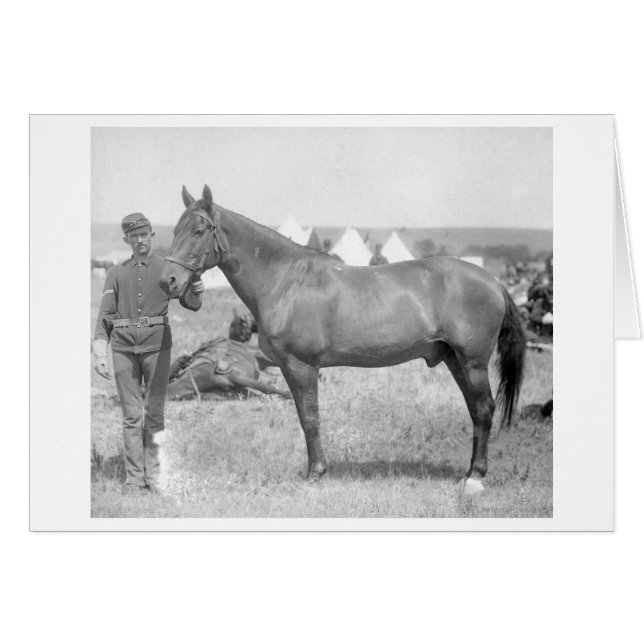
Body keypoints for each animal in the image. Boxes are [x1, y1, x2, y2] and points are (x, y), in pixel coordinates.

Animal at [161, 185, 526, 494]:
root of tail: (493, 282)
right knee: (475, 410)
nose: (169, 281)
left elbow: (310, 418)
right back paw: (468, 473)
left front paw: (316, 473)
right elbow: (303, 416)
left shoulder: (302, 366)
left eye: (198, 231)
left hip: (473, 363)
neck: (286, 280)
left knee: (484, 409)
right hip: (454, 360)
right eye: (174, 231)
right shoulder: (289, 368)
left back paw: (475, 478)